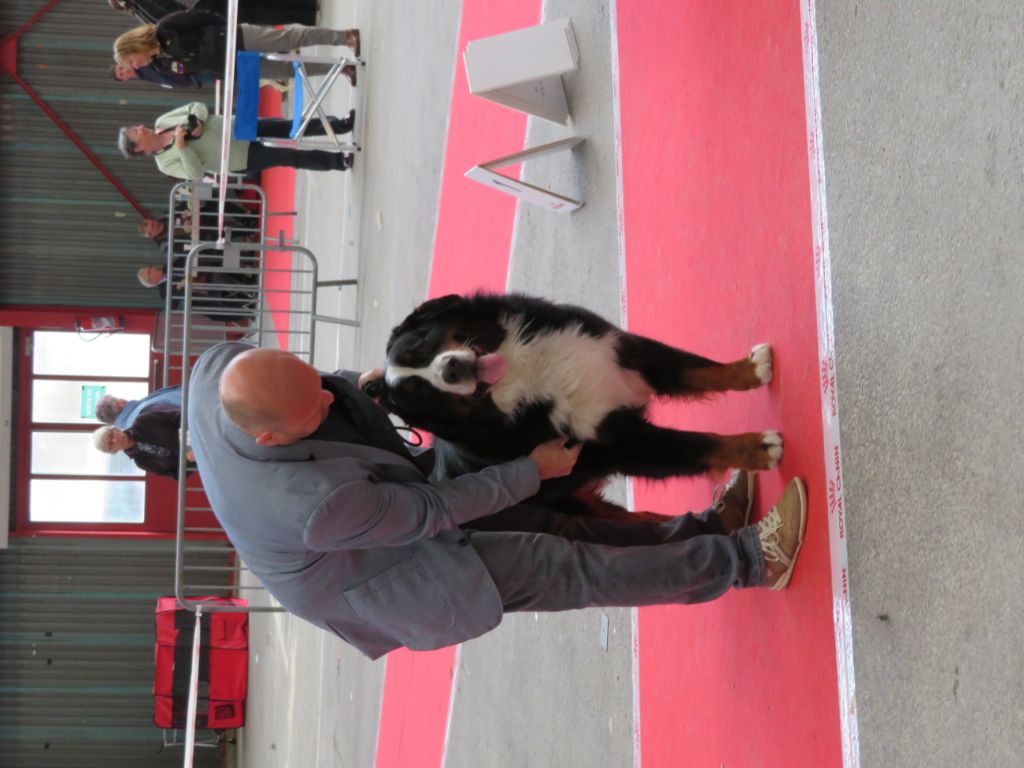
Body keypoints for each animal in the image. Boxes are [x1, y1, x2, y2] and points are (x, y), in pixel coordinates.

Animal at [362, 292, 782, 505]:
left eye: (420, 346)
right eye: (421, 393)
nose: (450, 369)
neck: (526, 374)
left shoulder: (622, 352)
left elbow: (694, 369)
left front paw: (751, 368)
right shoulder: (620, 445)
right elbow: (697, 444)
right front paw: (759, 447)